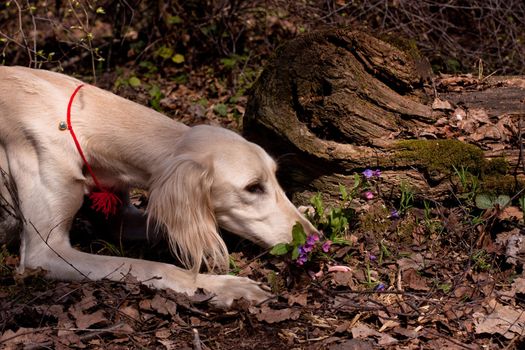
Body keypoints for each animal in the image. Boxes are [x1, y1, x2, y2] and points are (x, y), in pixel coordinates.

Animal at [0, 65, 316, 306]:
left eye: (274, 178)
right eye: (253, 187)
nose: (315, 238)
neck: (83, 122)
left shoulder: (119, 216)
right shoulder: (46, 253)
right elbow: (152, 266)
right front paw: (224, 286)